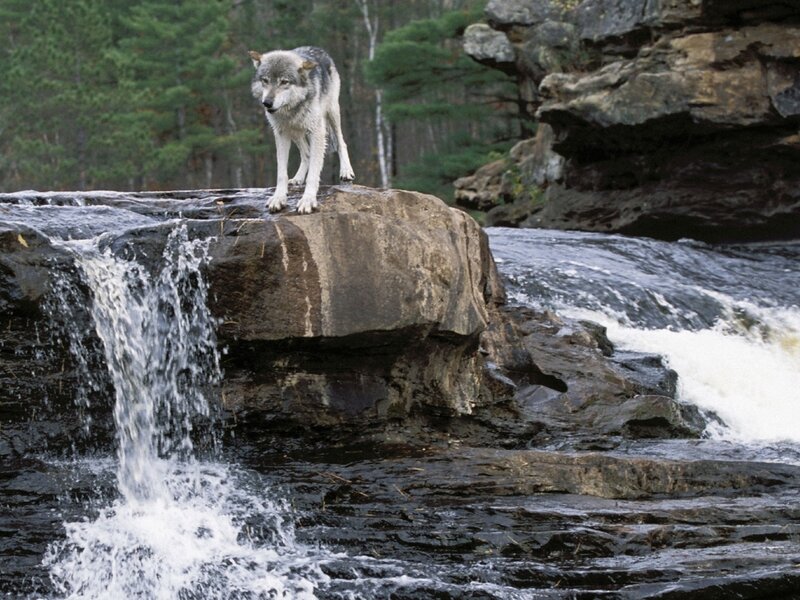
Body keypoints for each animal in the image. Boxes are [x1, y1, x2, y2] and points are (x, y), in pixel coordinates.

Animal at [249, 46, 355, 214]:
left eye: (284, 82)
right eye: (265, 80)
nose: (267, 103)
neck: (291, 108)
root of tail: (319, 49)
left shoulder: (317, 132)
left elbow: (313, 173)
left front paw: (308, 200)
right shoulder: (281, 133)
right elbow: (281, 173)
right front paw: (278, 198)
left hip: (332, 113)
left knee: (341, 142)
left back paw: (346, 171)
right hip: (296, 131)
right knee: (306, 153)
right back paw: (298, 178)